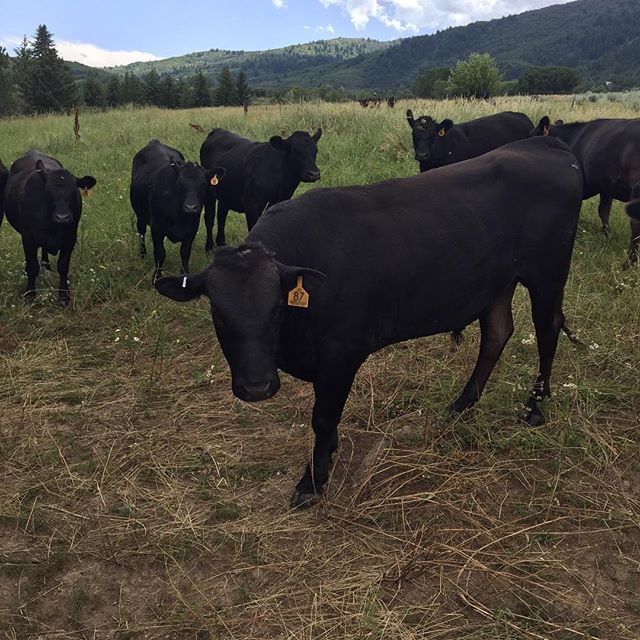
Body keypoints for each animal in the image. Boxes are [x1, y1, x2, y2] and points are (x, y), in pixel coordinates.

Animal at [3, 150, 96, 305]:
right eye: (48, 192)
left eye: (74, 192)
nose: (62, 217)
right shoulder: (28, 238)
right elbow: (32, 267)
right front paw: (30, 296)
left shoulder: (70, 238)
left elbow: (63, 266)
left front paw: (64, 296)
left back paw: (46, 266)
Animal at [130, 139, 225, 280]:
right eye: (180, 183)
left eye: (203, 184)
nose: (190, 207)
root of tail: (155, 142)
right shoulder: (156, 227)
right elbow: (160, 253)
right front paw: (157, 277)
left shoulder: (192, 228)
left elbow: (185, 253)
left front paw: (185, 274)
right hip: (140, 216)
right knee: (141, 232)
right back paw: (142, 255)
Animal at [155, 136, 583, 509]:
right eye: (217, 313)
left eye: (276, 307)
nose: (257, 387)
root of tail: (543, 144)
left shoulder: (341, 354)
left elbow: (323, 417)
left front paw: (313, 481)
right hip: (498, 282)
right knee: (496, 333)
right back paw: (461, 405)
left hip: (547, 273)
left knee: (546, 331)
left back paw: (535, 407)